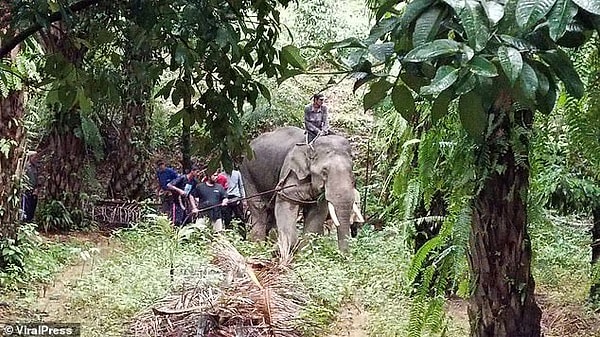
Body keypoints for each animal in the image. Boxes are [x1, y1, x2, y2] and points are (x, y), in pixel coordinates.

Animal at [240, 126, 360, 255]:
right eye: (324, 171)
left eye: (351, 168)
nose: (343, 255)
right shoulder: (291, 171)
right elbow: (286, 202)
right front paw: (288, 249)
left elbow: (317, 212)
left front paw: (304, 253)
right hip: (247, 172)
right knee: (259, 207)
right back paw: (258, 247)